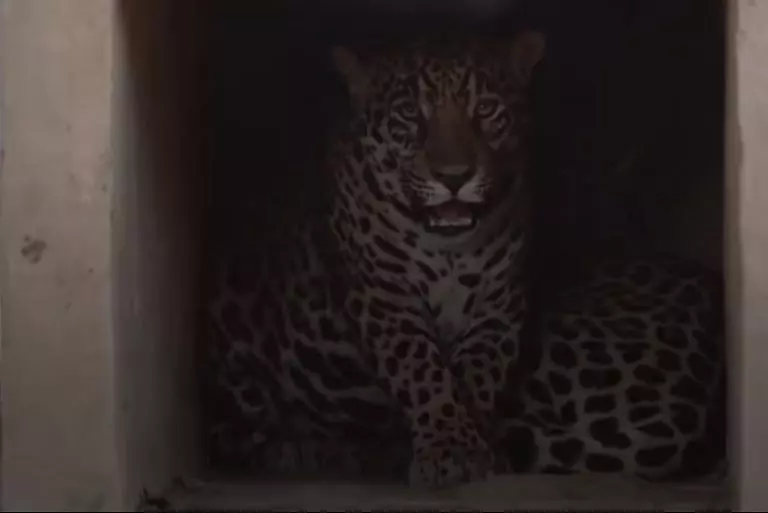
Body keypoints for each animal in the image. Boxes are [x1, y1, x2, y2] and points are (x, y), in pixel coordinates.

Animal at [204, 30, 548, 488]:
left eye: (486, 110)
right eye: (410, 114)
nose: (454, 177)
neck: (450, 251)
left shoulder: (499, 305)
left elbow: (477, 375)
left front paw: (478, 443)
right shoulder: (384, 295)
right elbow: (421, 367)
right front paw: (449, 447)